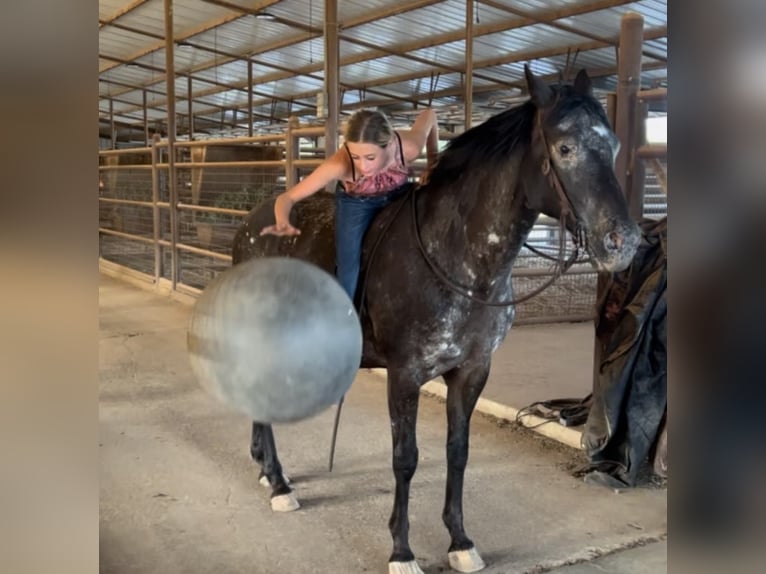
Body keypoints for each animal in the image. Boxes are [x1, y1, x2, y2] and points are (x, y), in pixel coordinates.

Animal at [232, 65, 640, 572]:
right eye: (565, 147)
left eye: (615, 145)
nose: (624, 241)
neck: (458, 262)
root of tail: (250, 225)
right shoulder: (404, 375)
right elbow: (405, 458)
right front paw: (402, 551)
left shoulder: (471, 371)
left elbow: (457, 452)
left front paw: (460, 541)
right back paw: (279, 483)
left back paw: (268, 472)